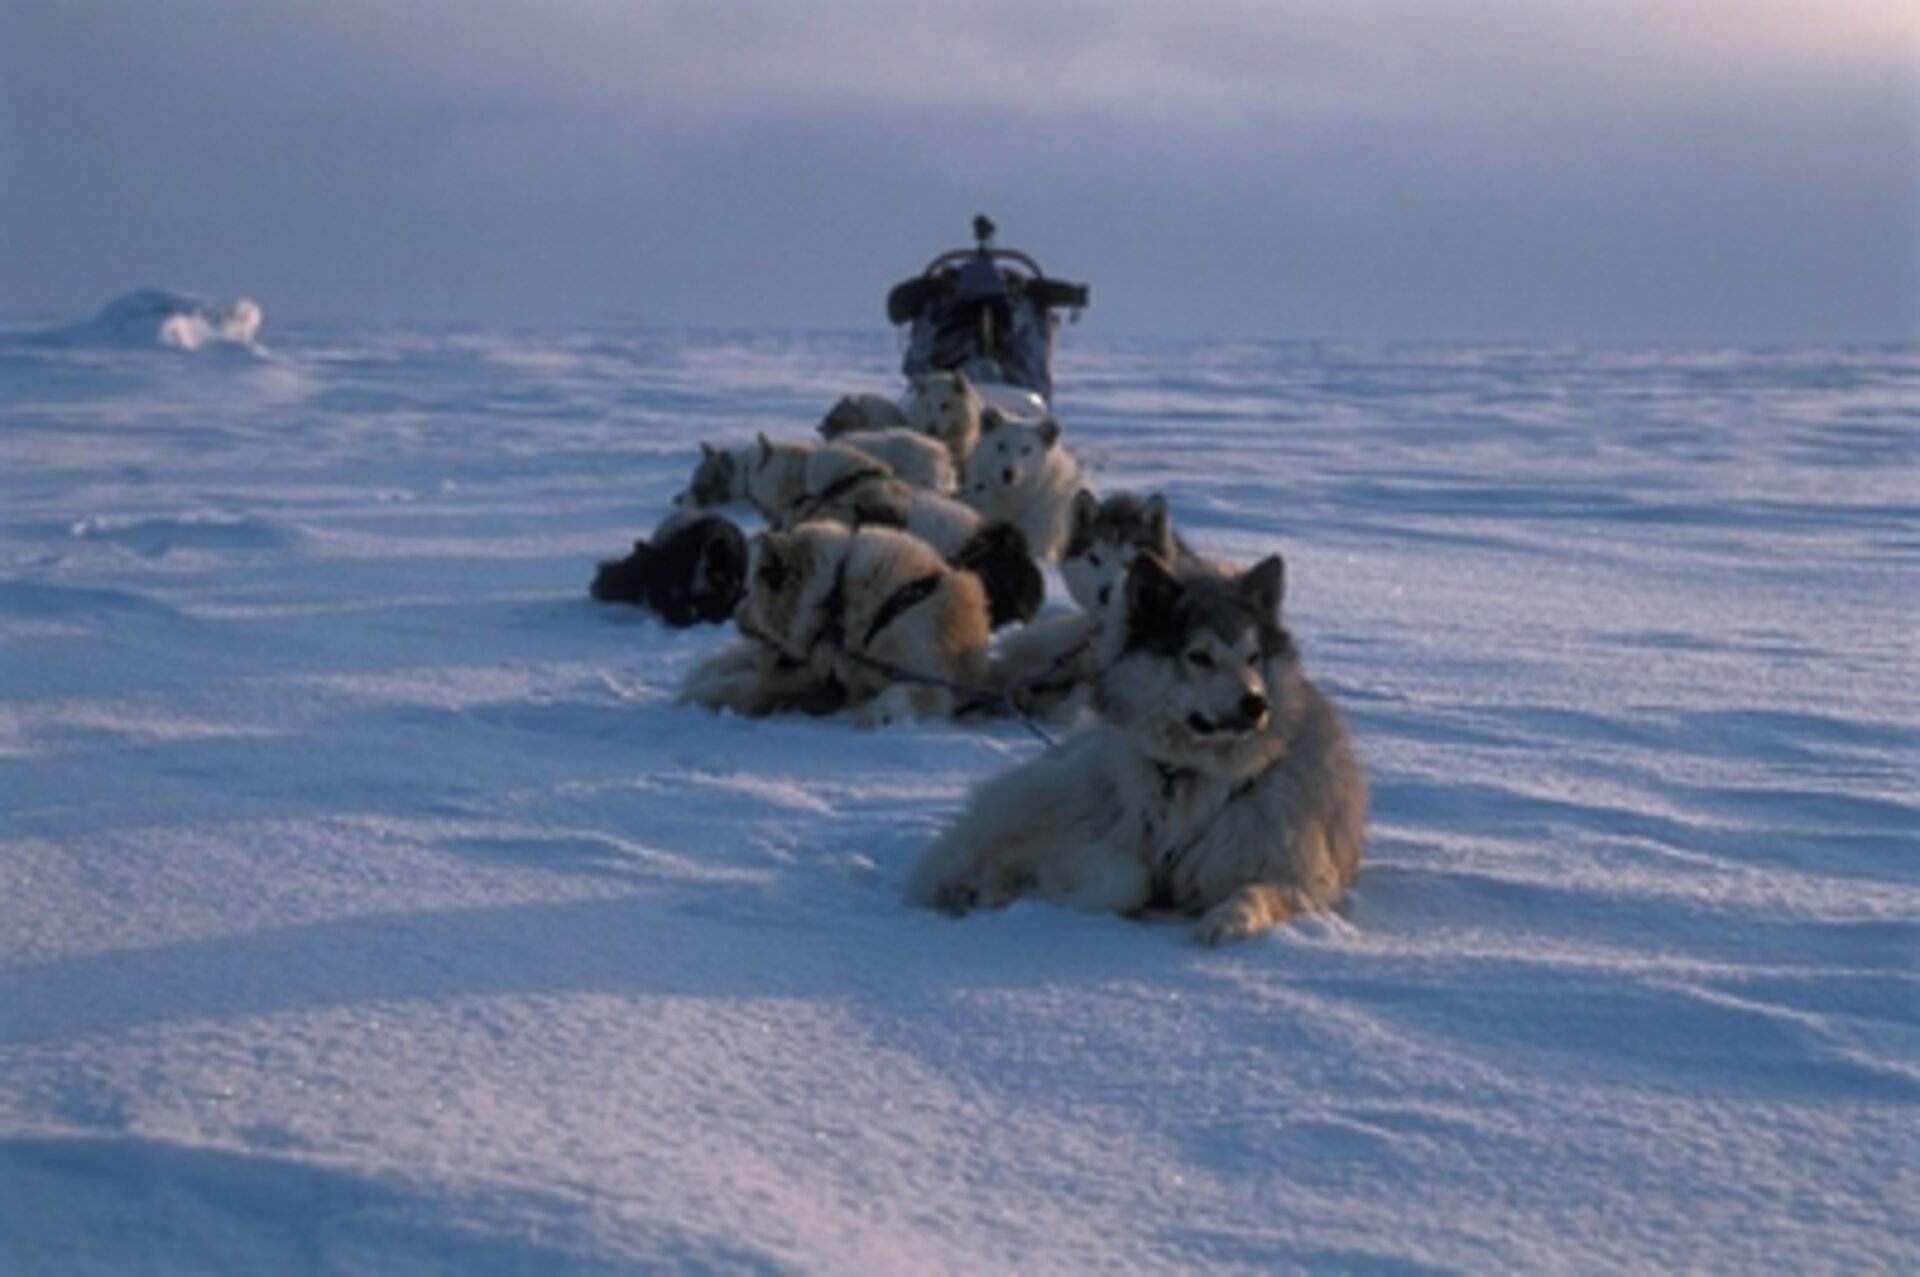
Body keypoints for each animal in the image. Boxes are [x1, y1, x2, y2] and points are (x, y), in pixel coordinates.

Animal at [902, 549, 1367, 937]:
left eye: (1253, 657)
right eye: (1199, 656)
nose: (1256, 703)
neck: (1187, 775)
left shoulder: (1294, 873)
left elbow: (1257, 893)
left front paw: (1227, 919)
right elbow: (1127, 880)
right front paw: (1052, 888)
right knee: (973, 844)